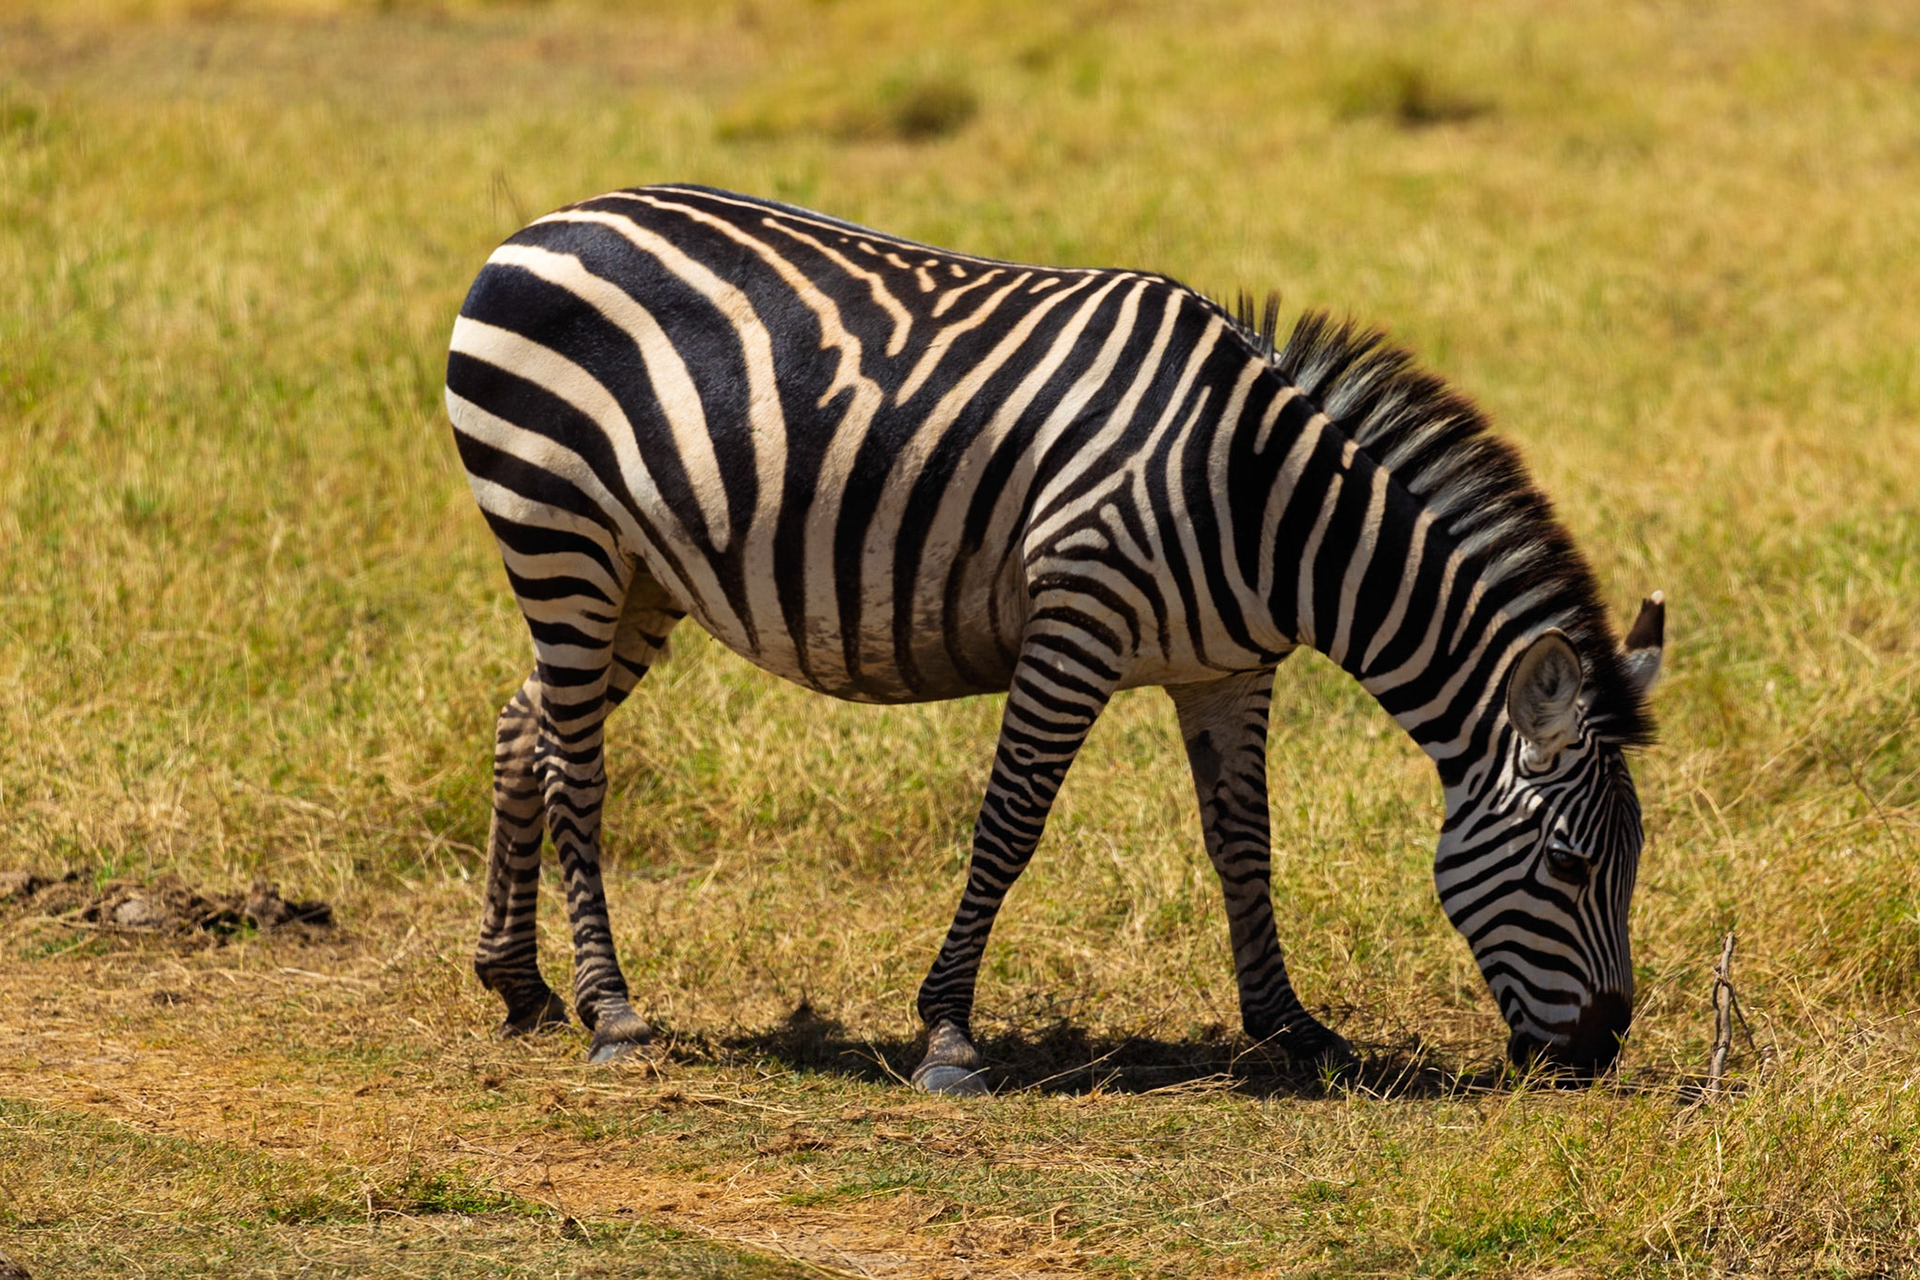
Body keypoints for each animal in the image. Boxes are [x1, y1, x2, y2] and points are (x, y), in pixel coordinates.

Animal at [444, 184, 1665, 1091]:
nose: (1600, 1050)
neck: (1268, 503)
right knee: (577, 766)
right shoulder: (1077, 623)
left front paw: (1291, 1026)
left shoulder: (1230, 671)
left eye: (1633, 865)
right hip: (558, 529)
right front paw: (947, 1034)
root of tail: (544, 223)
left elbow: (1245, 841)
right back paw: (612, 1013)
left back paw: (519, 984)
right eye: (1569, 864)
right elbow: (1010, 826)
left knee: (525, 727)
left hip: (639, 572)